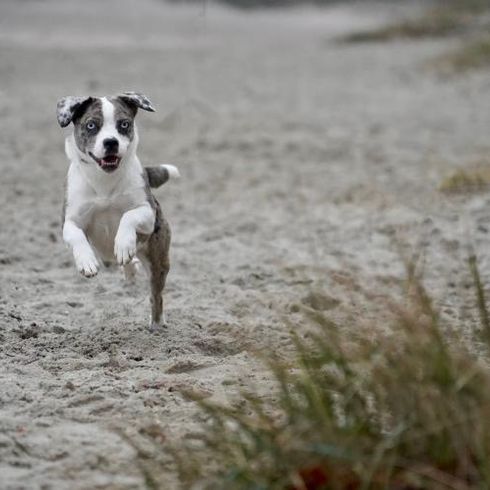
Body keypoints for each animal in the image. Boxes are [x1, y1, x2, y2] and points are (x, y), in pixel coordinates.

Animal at [57, 92, 180, 330]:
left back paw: (157, 324)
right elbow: (76, 235)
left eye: (123, 124)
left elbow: (128, 216)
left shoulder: (148, 213)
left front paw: (123, 244)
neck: (105, 179)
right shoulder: (70, 221)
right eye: (91, 125)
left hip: (158, 261)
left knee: (156, 296)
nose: (111, 142)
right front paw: (87, 262)